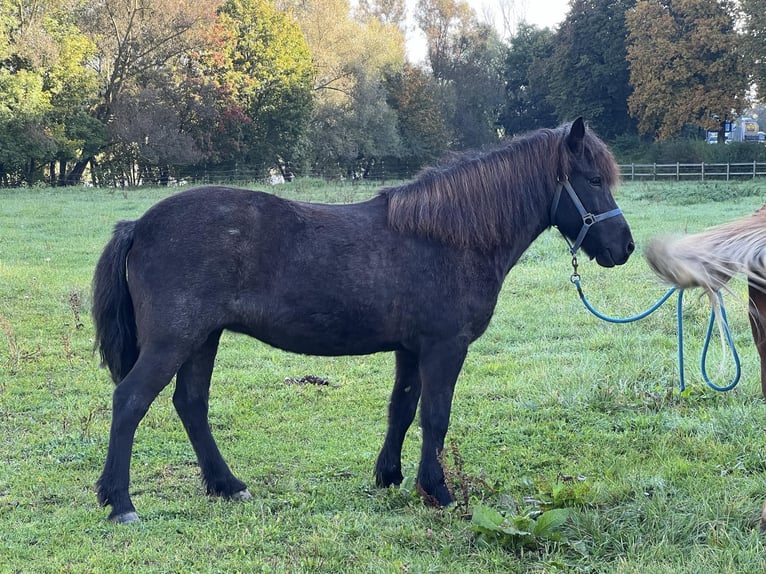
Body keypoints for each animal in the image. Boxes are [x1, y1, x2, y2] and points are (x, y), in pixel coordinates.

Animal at [91, 119, 636, 524]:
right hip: (173, 340)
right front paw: (437, 490)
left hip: (202, 339)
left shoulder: (411, 349)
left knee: (191, 405)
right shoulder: (444, 346)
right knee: (131, 401)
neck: (450, 237)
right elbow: (435, 415)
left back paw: (226, 485)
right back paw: (120, 503)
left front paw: (390, 476)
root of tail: (139, 225)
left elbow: (402, 409)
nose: (625, 247)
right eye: (593, 180)